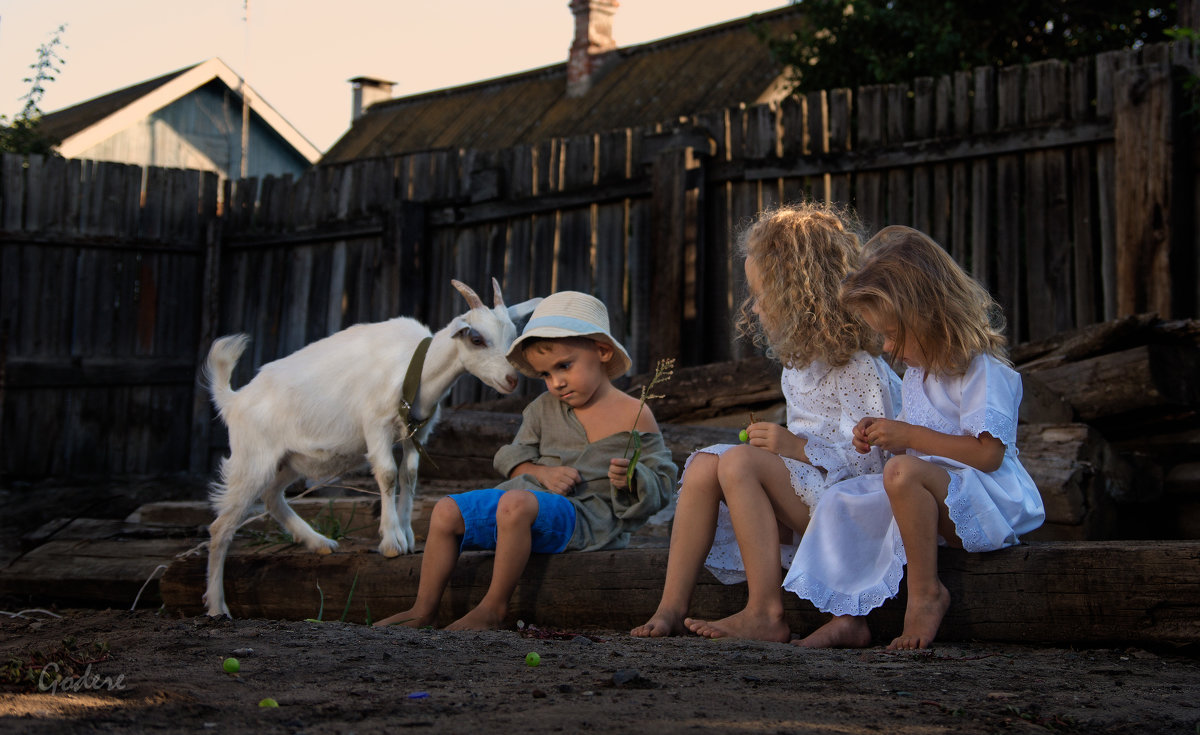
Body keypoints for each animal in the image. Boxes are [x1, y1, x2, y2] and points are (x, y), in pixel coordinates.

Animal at [202, 278, 540, 614]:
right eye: (476, 338)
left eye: (512, 335)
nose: (511, 380)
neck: (415, 368)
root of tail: (234, 400)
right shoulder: (376, 426)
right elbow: (388, 474)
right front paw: (392, 542)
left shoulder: (417, 432)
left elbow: (410, 475)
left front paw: (408, 536)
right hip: (253, 458)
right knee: (221, 526)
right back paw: (217, 606)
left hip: (290, 460)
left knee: (272, 497)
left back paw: (319, 543)